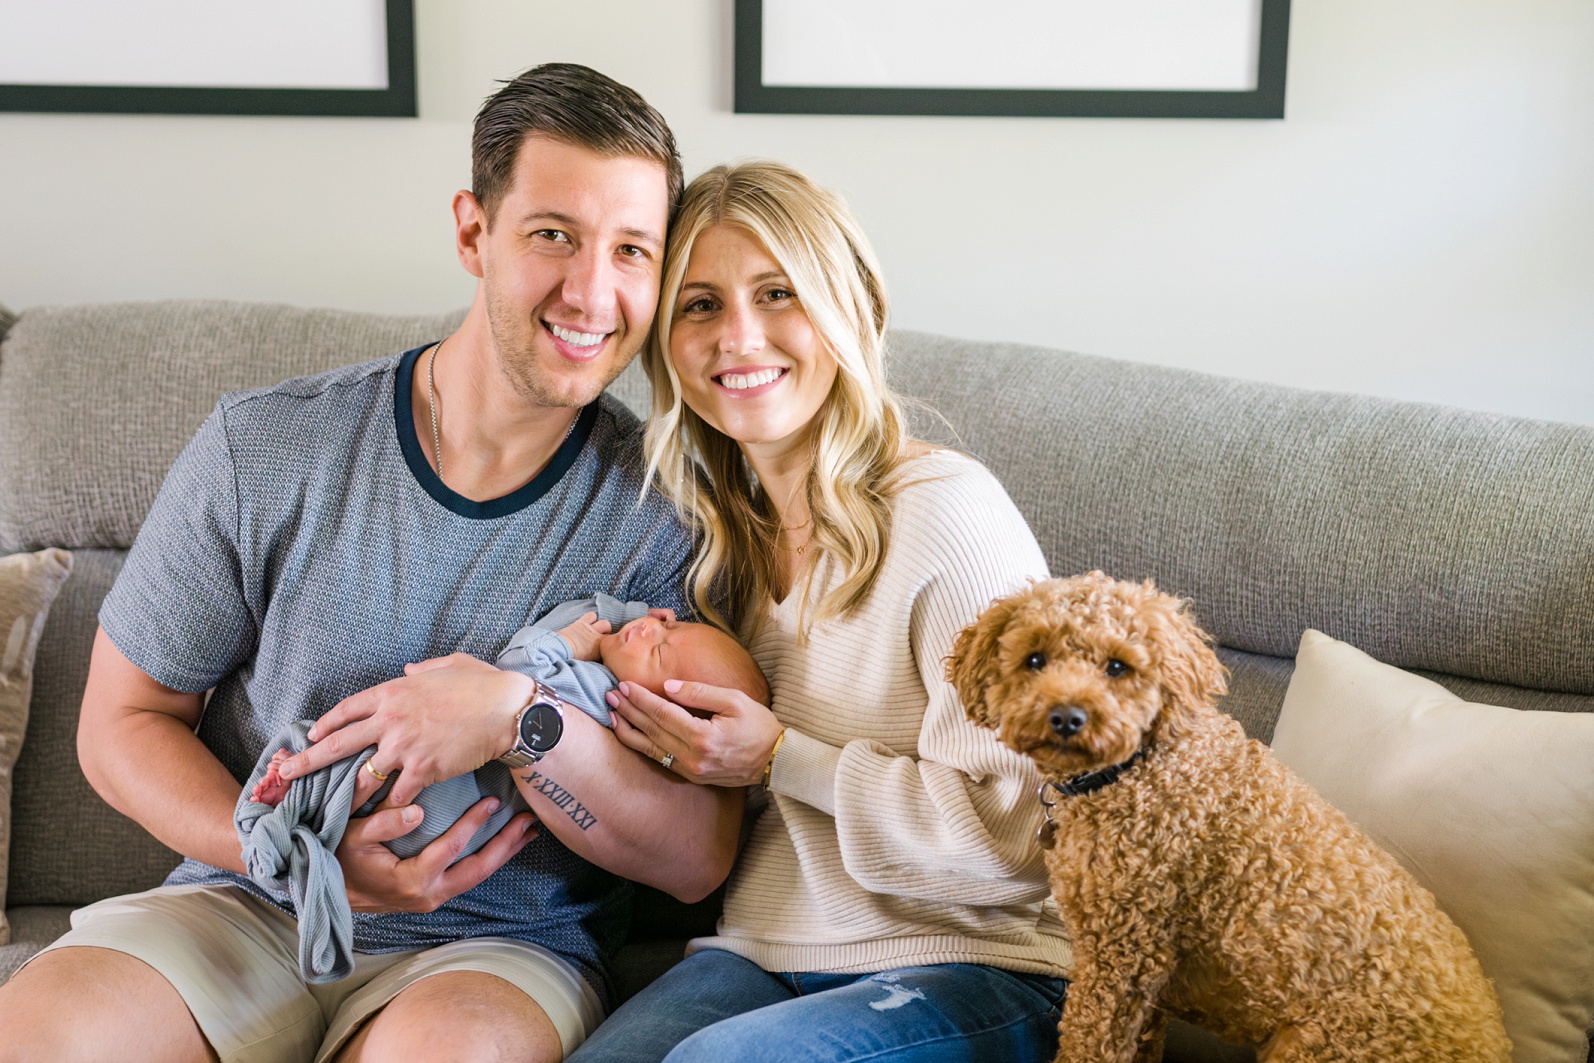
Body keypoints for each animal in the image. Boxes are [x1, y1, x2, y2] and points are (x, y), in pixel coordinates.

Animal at [948, 572, 1510, 1063]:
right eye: (1034, 659)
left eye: (1117, 667)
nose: (1067, 717)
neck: (1138, 767)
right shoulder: (1149, 993)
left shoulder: (1120, 960)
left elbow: (1089, 1046)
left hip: (1314, 1047)